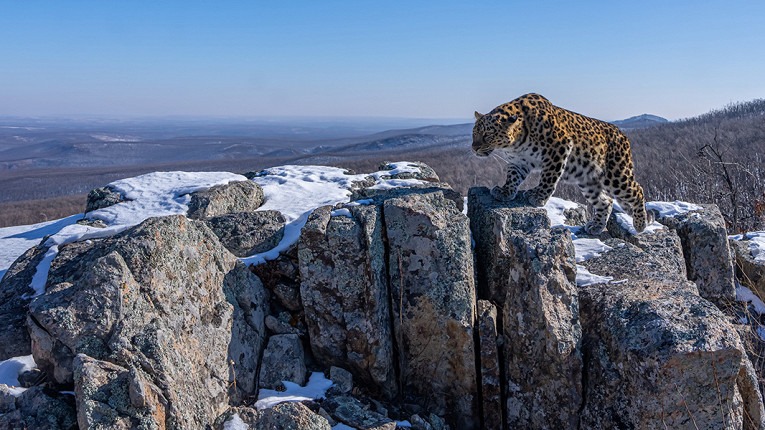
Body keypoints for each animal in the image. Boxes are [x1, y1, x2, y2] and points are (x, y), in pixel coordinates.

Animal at [474, 93, 648, 235]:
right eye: (474, 133)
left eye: (487, 135)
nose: (474, 147)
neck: (514, 143)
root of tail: (623, 134)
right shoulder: (519, 161)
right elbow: (512, 177)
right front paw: (505, 191)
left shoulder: (559, 146)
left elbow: (549, 176)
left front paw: (538, 196)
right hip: (588, 180)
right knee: (606, 201)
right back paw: (596, 226)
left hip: (615, 176)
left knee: (638, 190)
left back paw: (640, 224)